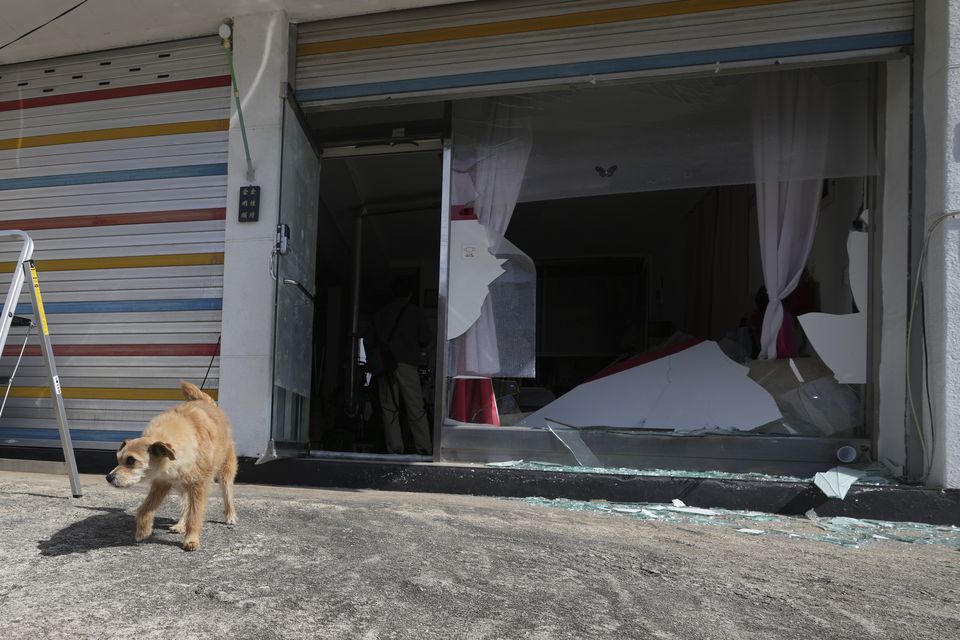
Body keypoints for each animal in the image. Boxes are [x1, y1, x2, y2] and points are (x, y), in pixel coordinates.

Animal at [106, 380, 237, 552]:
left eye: (131, 460)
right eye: (119, 459)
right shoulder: (161, 483)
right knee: (185, 505)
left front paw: (191, 539)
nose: (108, 477)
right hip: (183, 485)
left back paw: (230, 515)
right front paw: (143, 531)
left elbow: (195, 516)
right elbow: (144, 508)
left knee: (227, 492)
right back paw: (180, 525)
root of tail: (206, 401)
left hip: (224, 471)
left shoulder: (199, 485)